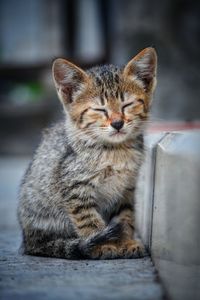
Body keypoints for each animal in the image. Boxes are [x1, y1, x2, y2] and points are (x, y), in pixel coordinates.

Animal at [18, 48, 157, 258]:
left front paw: (126, 242)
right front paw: (102, 245)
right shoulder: (75, 188)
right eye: (100, 109)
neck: (115, 151)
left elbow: (125, 217)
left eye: (126, 105)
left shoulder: (126, 189)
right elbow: (89, 221)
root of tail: (27, 240)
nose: (118, 123)